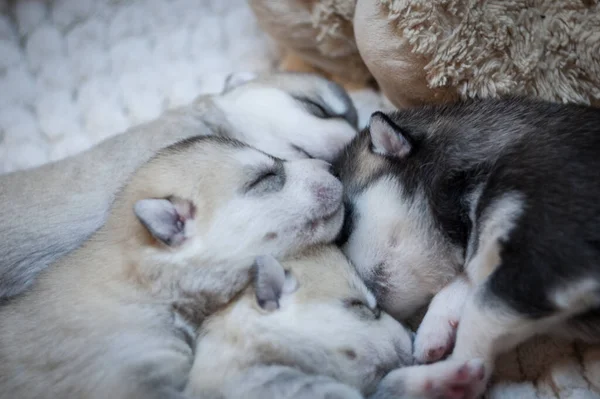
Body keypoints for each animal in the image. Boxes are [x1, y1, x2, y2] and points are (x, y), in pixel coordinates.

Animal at [336, 98, 600, 398]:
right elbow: (474, 283)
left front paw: (444, 377)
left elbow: (480, 313)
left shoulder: (549, 254)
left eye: (344, 226)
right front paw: (436, 326)